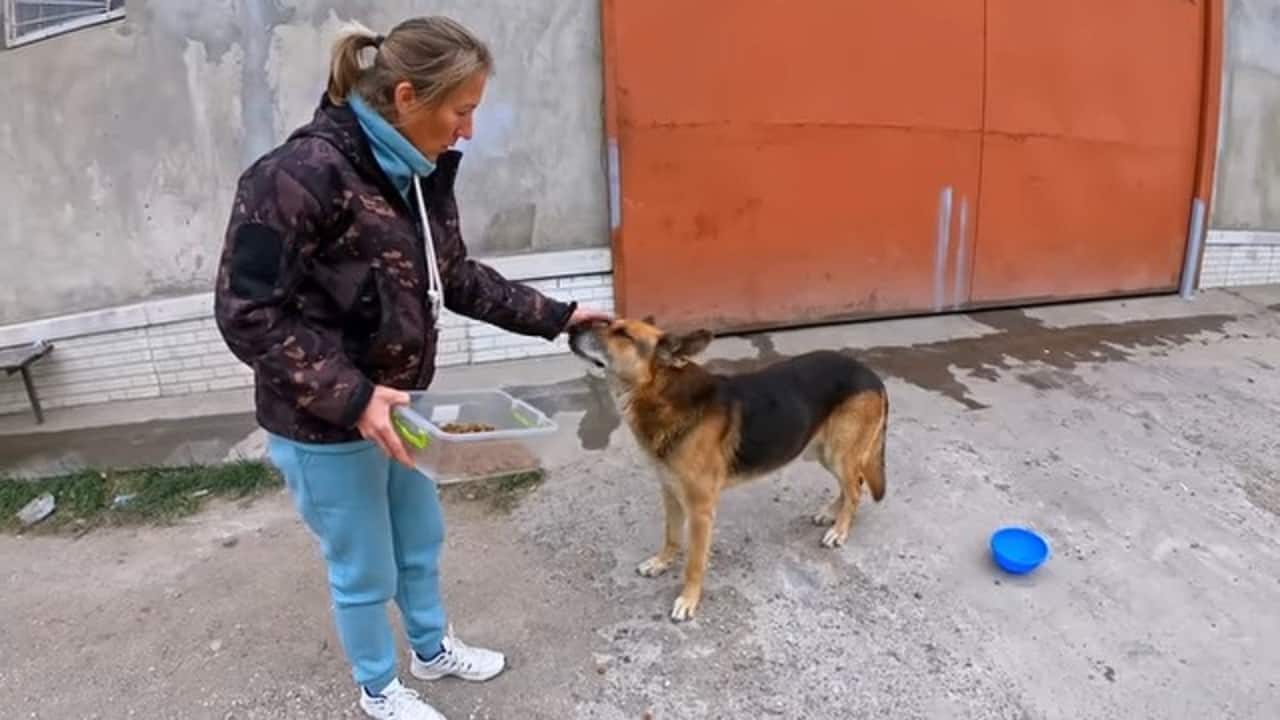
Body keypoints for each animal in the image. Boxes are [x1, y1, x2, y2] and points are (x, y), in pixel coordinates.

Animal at [570, 316, 890, 620]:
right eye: (610, 323)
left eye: (622, 334)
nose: (571, 327)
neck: (663, 396)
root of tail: (871, 375)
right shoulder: (670, 493)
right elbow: (671, 536)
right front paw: (661, 563)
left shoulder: (700, 511)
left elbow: (694, 562)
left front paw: (688, 600)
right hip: (824, 451)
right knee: (853, 484)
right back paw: (831, 514)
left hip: (838, 452)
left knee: (855, 489)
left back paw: (840, 530)